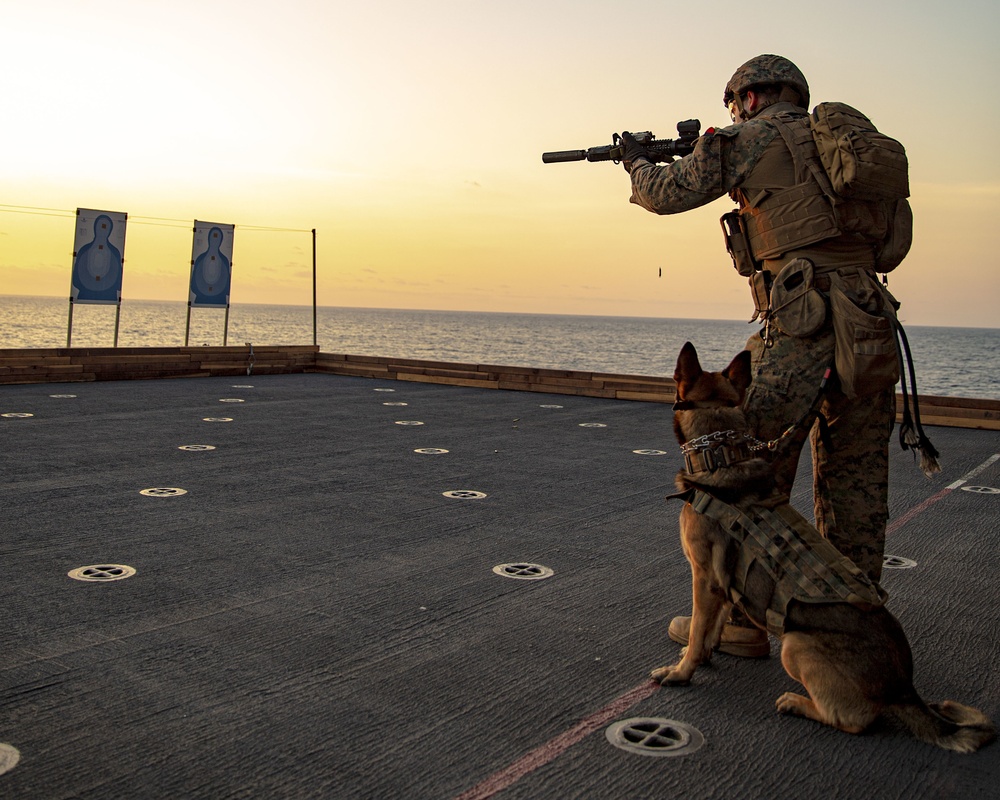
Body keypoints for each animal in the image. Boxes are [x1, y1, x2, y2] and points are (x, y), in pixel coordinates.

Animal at [656, 340, 992, 752]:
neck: (719, 453)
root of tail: (904, 688)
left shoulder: (704, 579)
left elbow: (699, 630)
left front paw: (681, 671)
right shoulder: (721, 584)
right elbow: (711, 627)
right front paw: (703, 655)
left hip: (795, 645)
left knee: (855, 720)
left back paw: (797, 703)